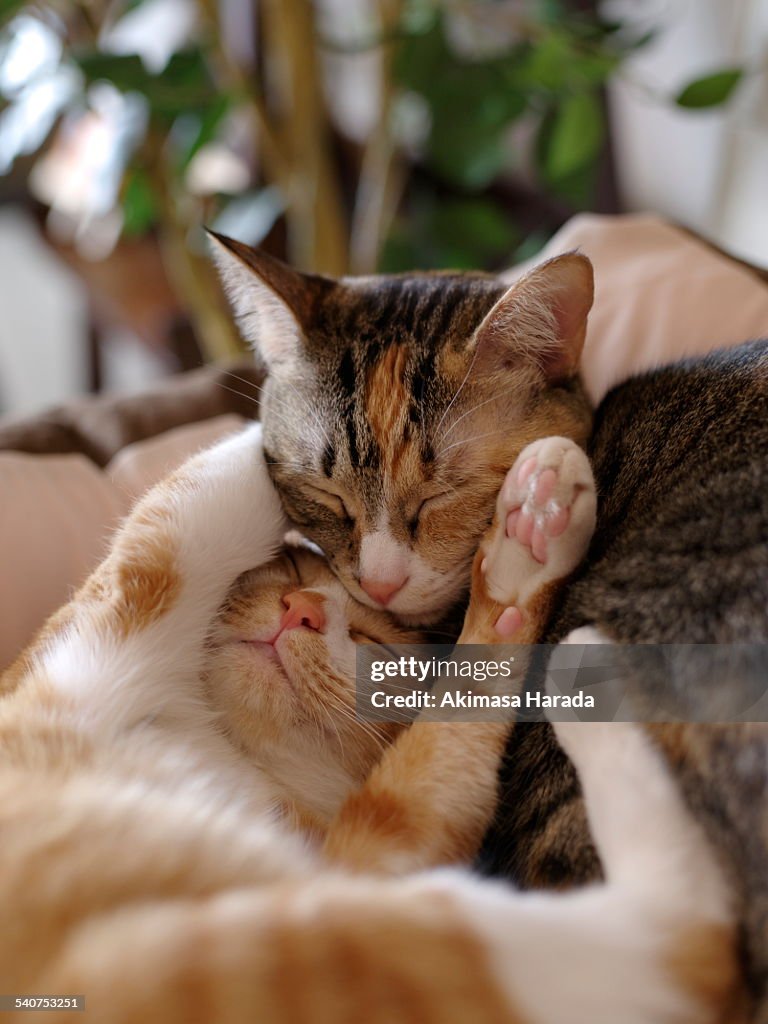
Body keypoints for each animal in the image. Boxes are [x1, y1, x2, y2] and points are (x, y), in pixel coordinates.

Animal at [0, 425, 741, 1024]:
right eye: (289, 568)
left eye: (372, 643)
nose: (301, 610)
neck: (243, 757)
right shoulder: (118, 612)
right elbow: (207, 489)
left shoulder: (375, 852)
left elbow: (459, 707)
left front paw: (524, 538)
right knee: (685, 945)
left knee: (692, 943)